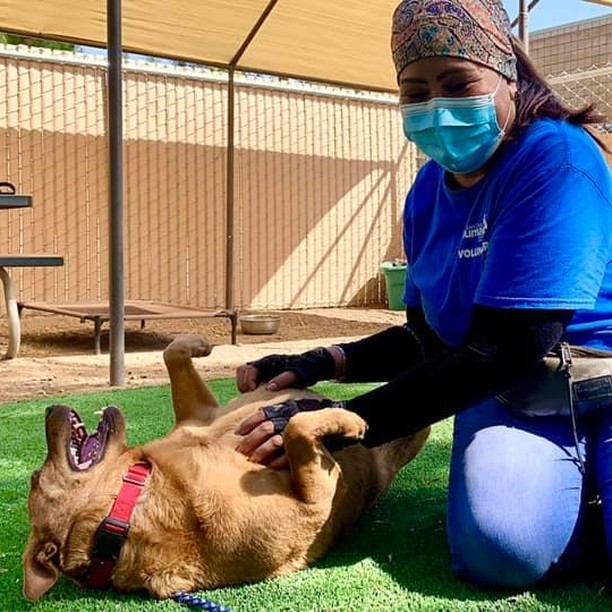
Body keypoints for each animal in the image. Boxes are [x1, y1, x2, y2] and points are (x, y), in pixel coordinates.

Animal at [21, 332, 428, 600]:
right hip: (410, 433)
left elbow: (172, 352)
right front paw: (334, 418)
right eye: (36, 477)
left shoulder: (201, 415)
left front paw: (201, 344)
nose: (49, 407)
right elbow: (295, 427)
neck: (131, 504)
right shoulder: (312, 503)